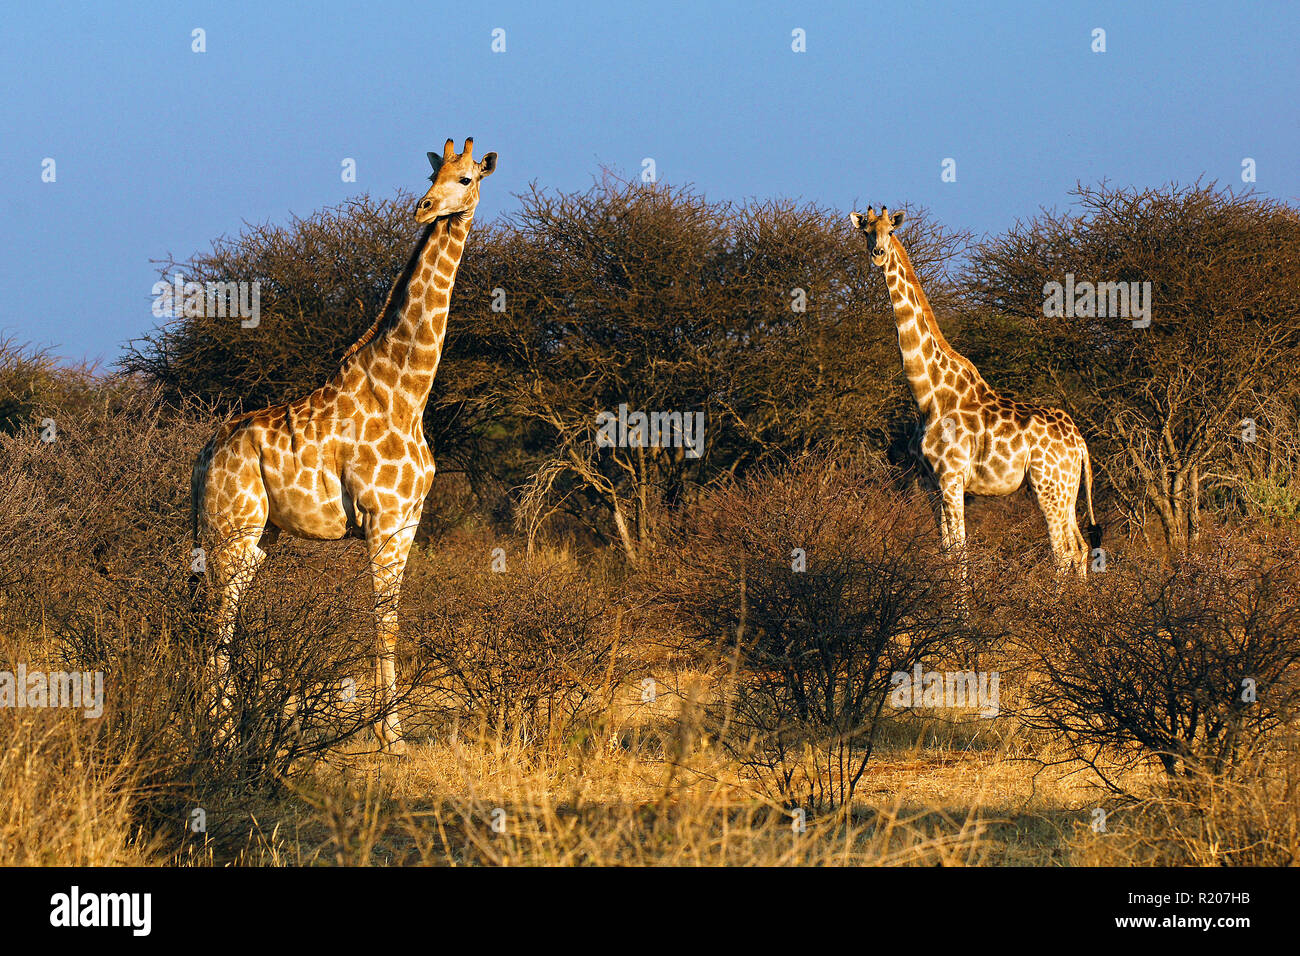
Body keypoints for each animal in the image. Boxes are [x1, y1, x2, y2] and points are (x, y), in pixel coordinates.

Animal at [192, 136, 496, 754]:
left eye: (467, 178)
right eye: (434, 176)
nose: (424, 208)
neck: (408, 392)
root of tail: (204, 457)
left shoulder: (409, 520)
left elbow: (390, 619)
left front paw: (387, 733)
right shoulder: (382, 518)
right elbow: (383, 621)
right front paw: (392, 739)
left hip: (258, 536)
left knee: (224, 618)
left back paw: (224, 734)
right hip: (232, 528)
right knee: (217, 619)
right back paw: (222, 740)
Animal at [847, 208, 1102, 574]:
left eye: (890, 231)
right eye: (866, 230)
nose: (878, 254)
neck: (928, 396)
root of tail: (1079, 443)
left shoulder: (952, 478)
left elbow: (960, 553)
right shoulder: (931, 484)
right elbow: (945, 552)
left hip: (1048, 485)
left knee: (1063, 551)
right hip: (1066, 487)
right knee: (1080, 548)